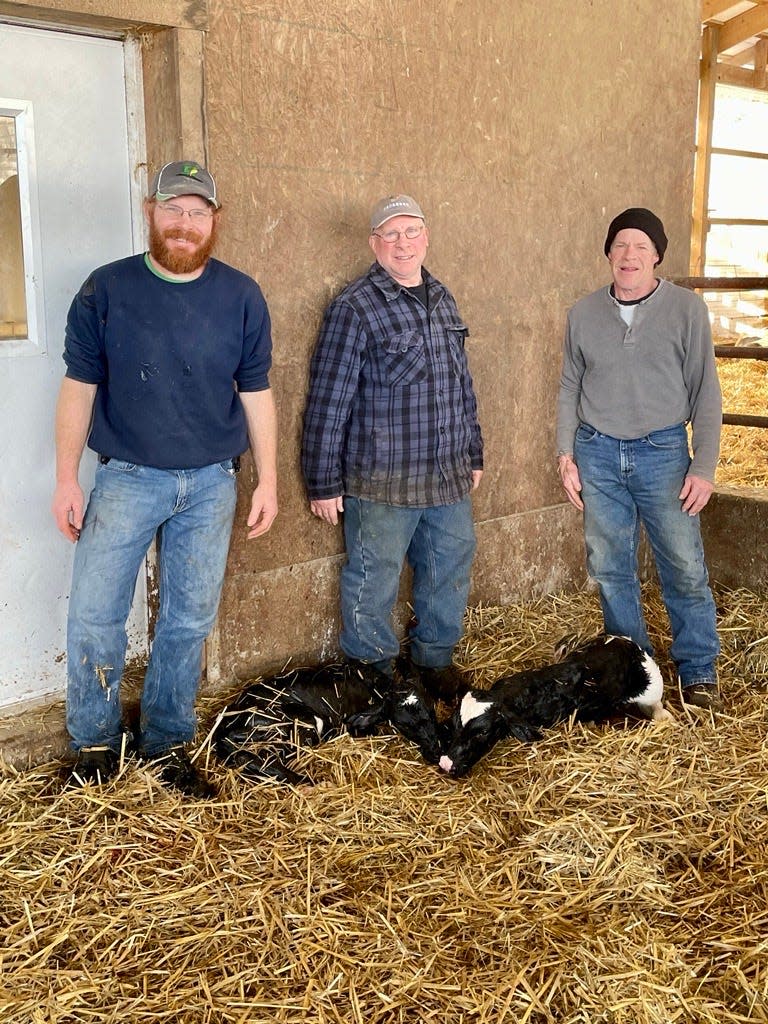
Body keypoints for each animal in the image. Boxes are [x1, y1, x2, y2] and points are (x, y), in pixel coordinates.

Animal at [438, 630, 671, 774]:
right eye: (456, 723)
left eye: (483, 732)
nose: (446, 763)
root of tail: (626, 642)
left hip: (652, 685)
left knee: (657, 706)